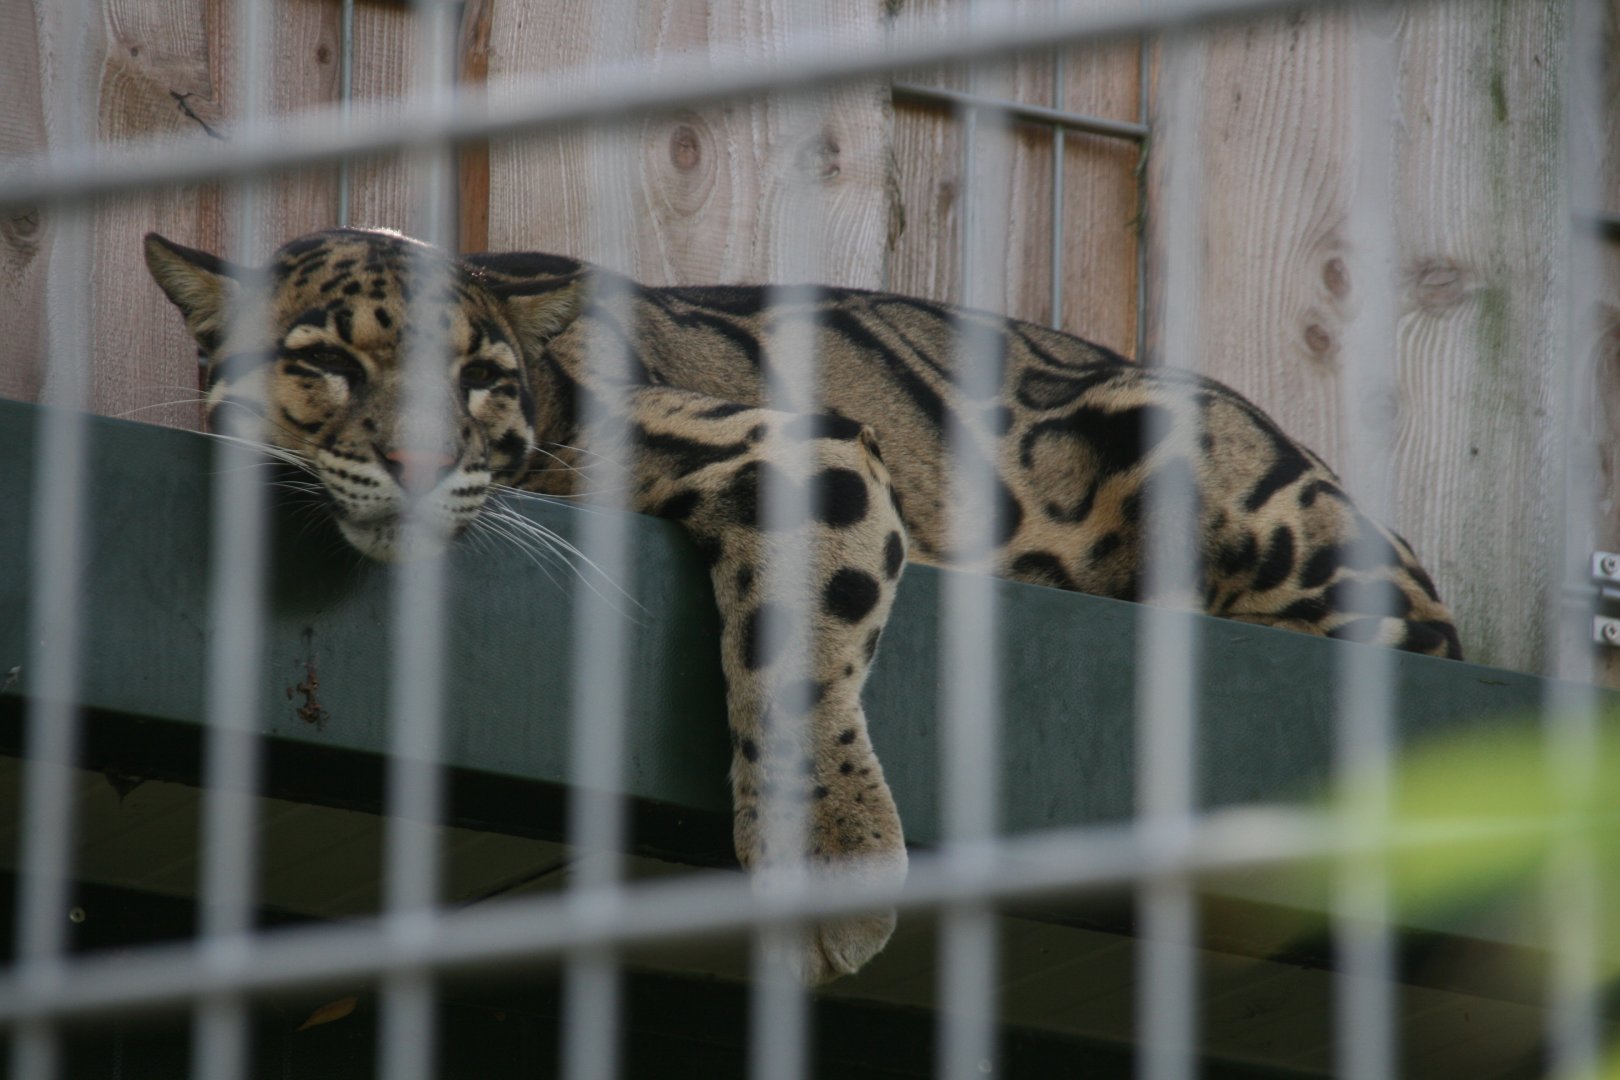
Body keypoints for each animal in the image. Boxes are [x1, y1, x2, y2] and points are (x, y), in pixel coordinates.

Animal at [143, 226, 1461, 985]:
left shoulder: (802, 443)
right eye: (324, 364)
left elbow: (797, 651)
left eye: (477, 380)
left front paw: (832, 857)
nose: (419, 465)